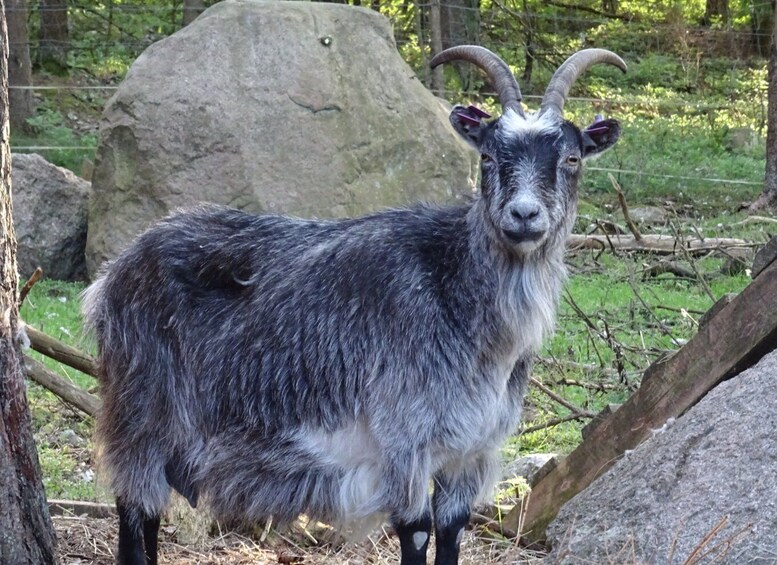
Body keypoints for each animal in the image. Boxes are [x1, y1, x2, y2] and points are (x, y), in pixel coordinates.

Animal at [82, 46, 625, 565]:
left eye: (572, 159)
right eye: (489, 156)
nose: (524, 215)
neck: (455, 294)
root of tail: (112, 276)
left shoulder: (472, 452)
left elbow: (451, 534)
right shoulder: (405, 439)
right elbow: (417, 533)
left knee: (150, 515)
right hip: (141, 410)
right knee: (133, 508)